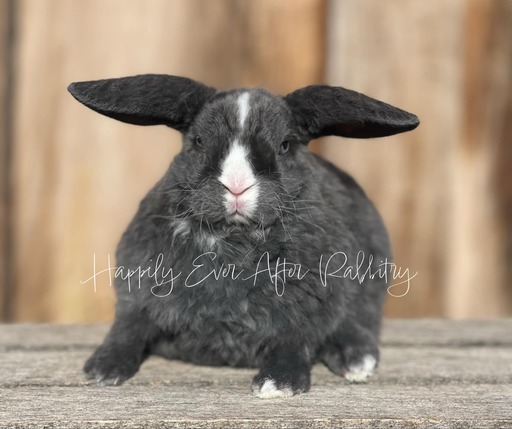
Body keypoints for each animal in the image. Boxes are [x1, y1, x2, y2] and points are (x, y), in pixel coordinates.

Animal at [69, 74, 420, 398]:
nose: (236, 186)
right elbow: (129, 327)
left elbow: (295, 341)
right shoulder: (138, 293)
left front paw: (277, 384)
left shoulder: (308, 308)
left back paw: (356, 361)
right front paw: (103, 370)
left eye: (284, 145)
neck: (233, 238)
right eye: (198, 141)